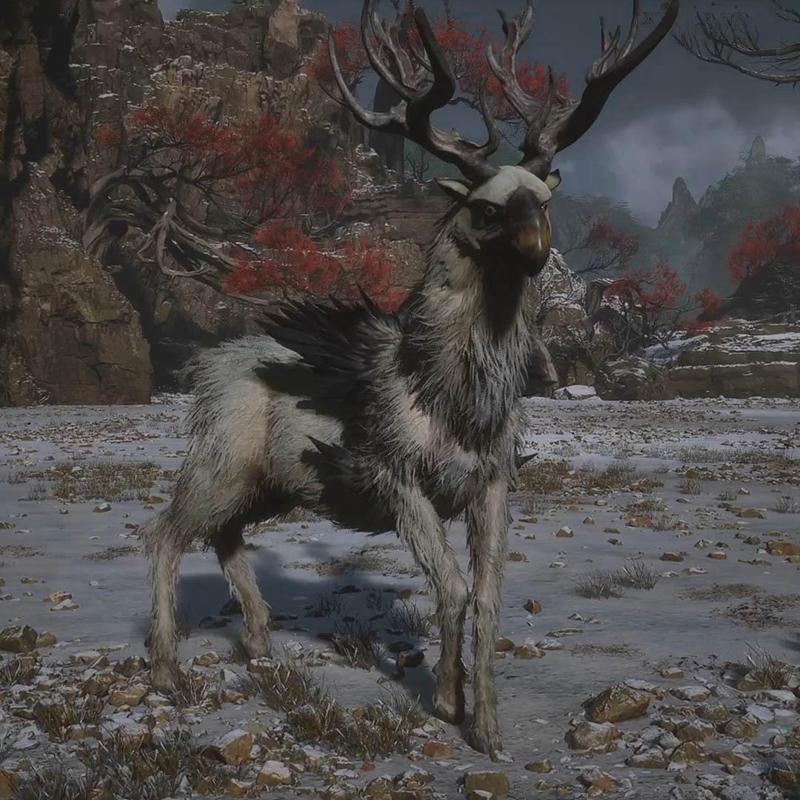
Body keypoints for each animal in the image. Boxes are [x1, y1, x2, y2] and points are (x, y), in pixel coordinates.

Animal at [145, 0, 679, 758]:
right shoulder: (395, 479)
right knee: (166, 530)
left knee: (225, 535)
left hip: (272, 483)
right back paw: (166, 668)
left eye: (543, 201)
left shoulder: (492, 483)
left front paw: (487, 723)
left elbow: (486, 595)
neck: (450, 397)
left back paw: (257, 640)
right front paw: (450, 705)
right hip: (222, 461)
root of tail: (207, 367)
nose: (536, 251)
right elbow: (451, 589)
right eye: (487, 207)